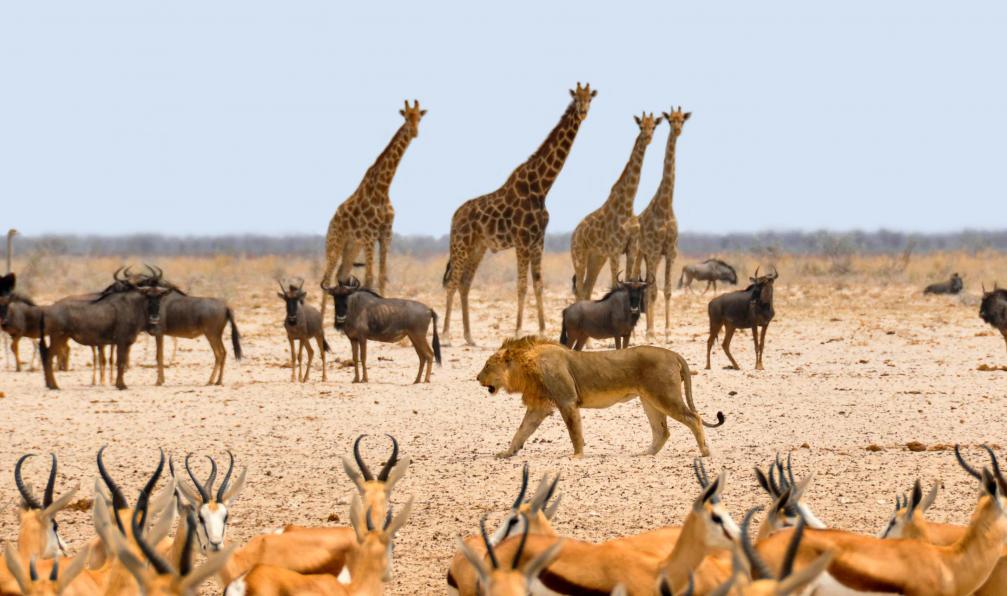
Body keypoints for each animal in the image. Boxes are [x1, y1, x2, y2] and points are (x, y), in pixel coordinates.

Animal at [476, 336, 725, 458]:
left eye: (487, 365)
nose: (477, 378)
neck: (526, 366)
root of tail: (674, 354)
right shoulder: (539, 407)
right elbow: (521, 431)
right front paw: (507, 452)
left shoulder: (567, 401)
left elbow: (574, 432)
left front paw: (577, 456)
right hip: (650, 400)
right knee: (662, 431)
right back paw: (646, 454)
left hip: (665, 395)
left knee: (694, 418)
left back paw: (704, 452)